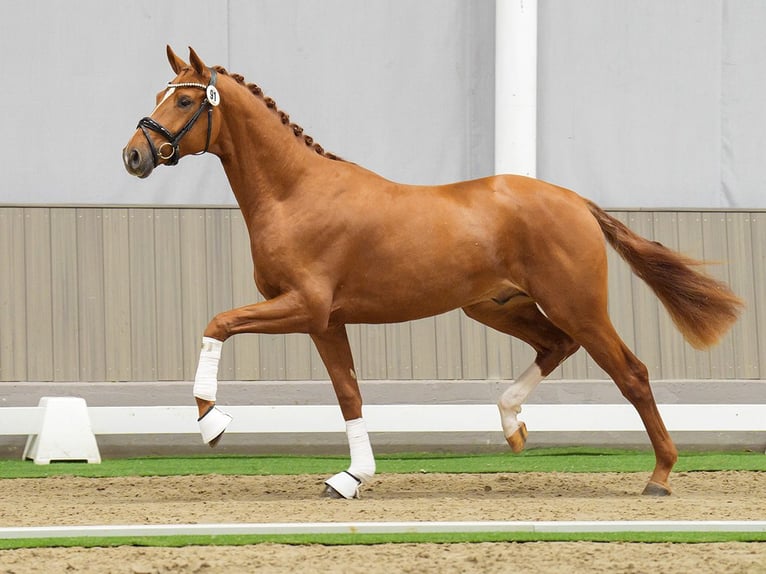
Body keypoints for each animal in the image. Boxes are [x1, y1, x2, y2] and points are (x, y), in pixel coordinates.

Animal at [124, 48, 744, 500]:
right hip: (497, 306)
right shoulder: (325, 322)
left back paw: (659, 476)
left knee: (631, 373)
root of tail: (575, 201)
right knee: (555, 345)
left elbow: (218, 323)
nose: (134, 155)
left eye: (185, 99)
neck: (295, 193)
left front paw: (212, 422)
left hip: (580, 306)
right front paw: (350, 478)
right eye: (160, 94)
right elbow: (348, 394)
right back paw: (512, 425)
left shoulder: (303, 306)